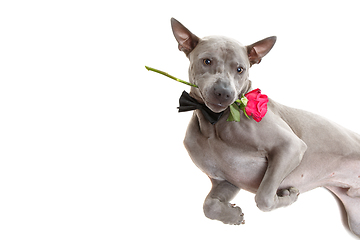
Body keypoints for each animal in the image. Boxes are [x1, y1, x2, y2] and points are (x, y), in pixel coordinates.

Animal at [170, 17, 360, 237]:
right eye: (207, 61)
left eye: (240, 69)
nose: (224, 92)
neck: (214, 123)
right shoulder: (226, 180)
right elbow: (208, 206)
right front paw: (233, 216)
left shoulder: (291, 147)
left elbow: (264, 198)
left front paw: (289, 197)